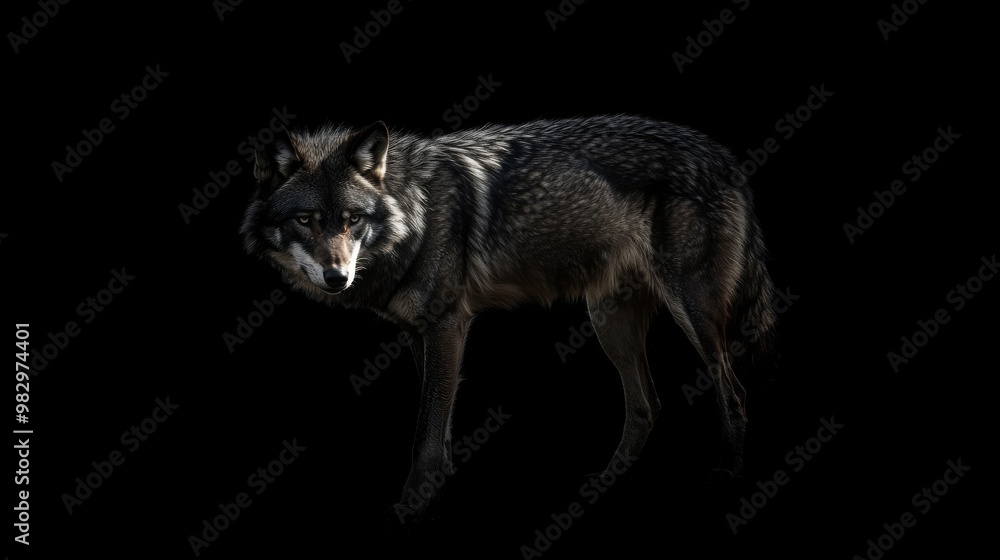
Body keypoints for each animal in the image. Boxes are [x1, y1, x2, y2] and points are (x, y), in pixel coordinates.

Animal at [240, 114, 777, 518]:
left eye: (353, 220)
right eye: (306, 220)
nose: (337, 277)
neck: (416, 210)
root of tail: (723, 155)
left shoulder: (448, 327)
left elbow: (426, 434)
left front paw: (411, 507)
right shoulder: (420, 336)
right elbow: (442, 429)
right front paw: (438, 494)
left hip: (692, 315)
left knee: (734, 389)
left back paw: (728, 473)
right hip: (610, 325)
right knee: (649, 404)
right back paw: (607, 482)